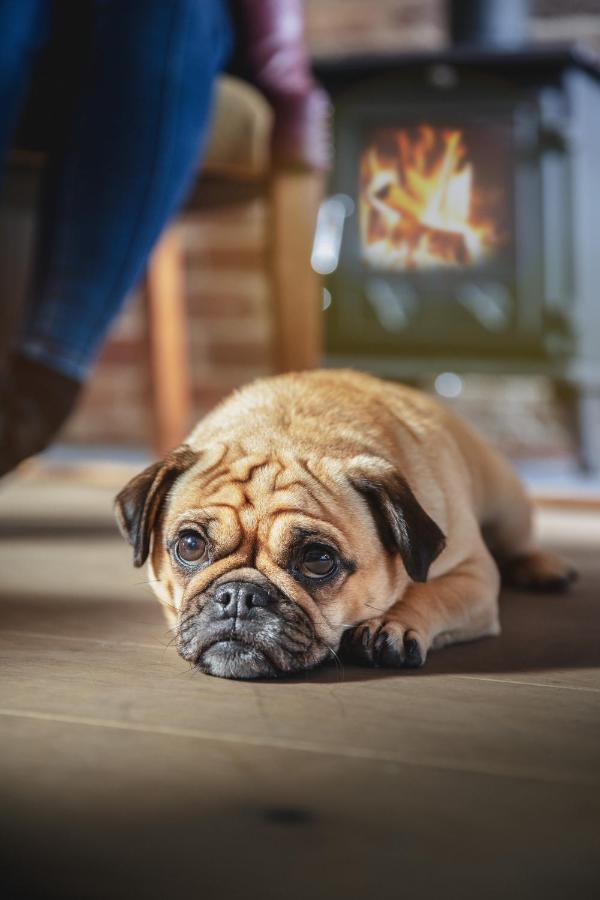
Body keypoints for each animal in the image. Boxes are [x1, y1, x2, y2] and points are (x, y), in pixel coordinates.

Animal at [113, 370, 576, 680]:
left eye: (318, 560)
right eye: (190, 546)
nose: (240, 596)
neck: (286, 433)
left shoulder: (474, 574)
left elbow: (432, 593)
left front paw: (390, 623)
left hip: (508, 506)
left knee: (518, 546)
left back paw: (545, 568)